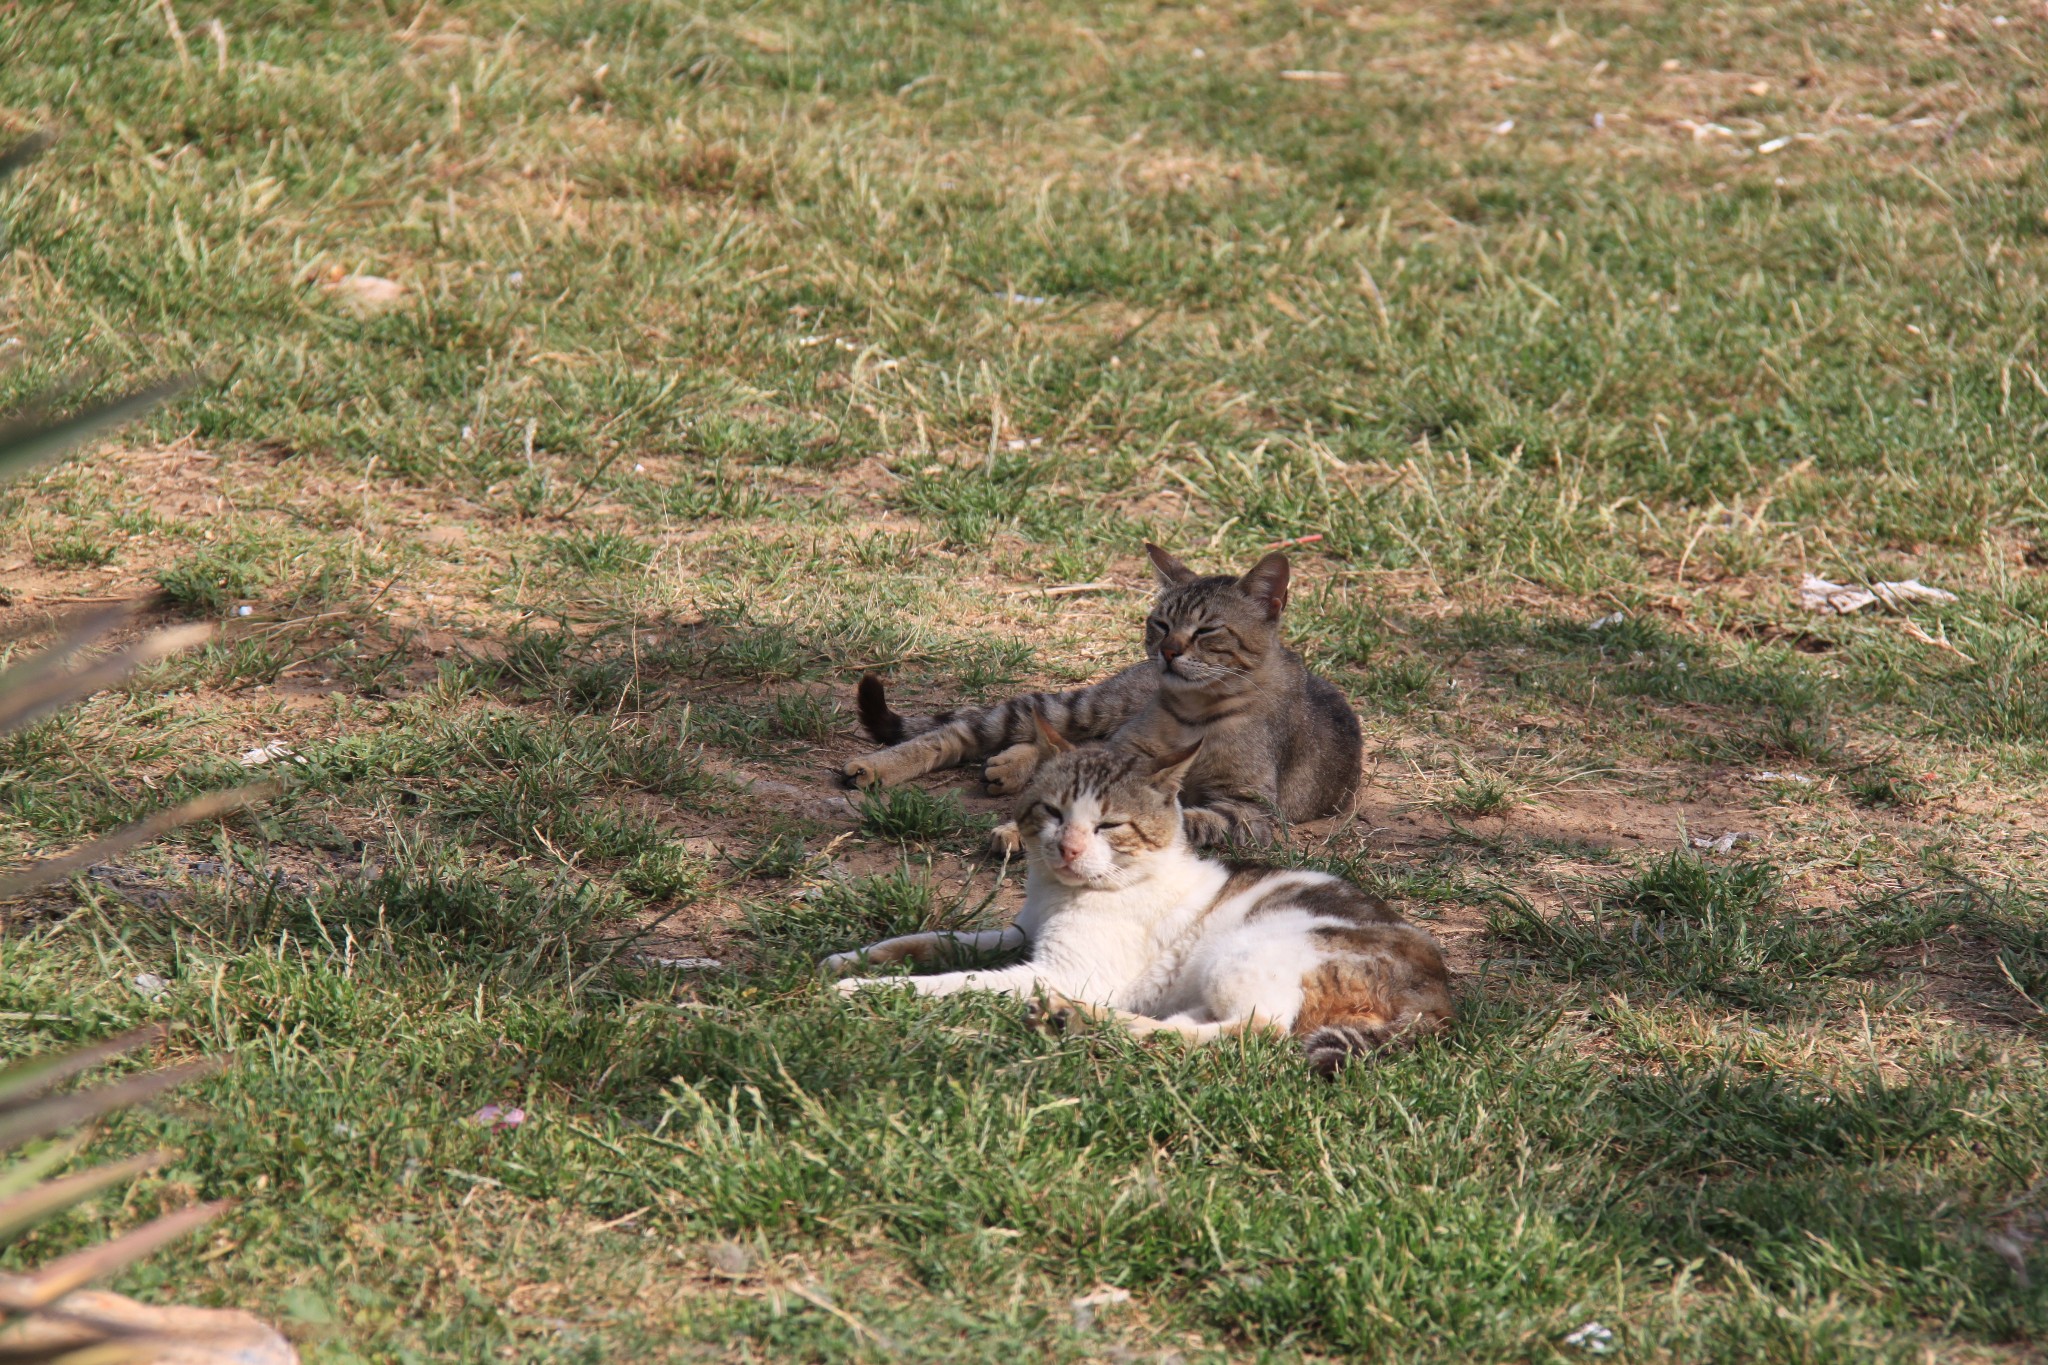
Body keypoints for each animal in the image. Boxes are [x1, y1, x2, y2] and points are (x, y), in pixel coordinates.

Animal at [823, 724, 1449, 1080]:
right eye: (1052, 812)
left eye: (1108, 825)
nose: (1068, 848)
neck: (1061, 894)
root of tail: (1443, 992)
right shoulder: (1021, 934)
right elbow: (938, 940)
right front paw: (855, 959)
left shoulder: (1058, 969)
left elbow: (959, 982)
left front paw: (862, 991)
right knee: (1193, 1024)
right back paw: (1082, 1021)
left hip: (1244, 956)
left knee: (1253, 1034)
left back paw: (1074, 1018)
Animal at [839, 540, 1368, 843]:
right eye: (1161, 623)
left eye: (1207, 631)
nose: (1168, 652)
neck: (1194, 711)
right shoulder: (1123, 751)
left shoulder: (1249, 808)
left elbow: (1179, 817)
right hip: (1083, 706)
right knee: (965, 731)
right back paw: (879, 767)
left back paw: (1009, 767)